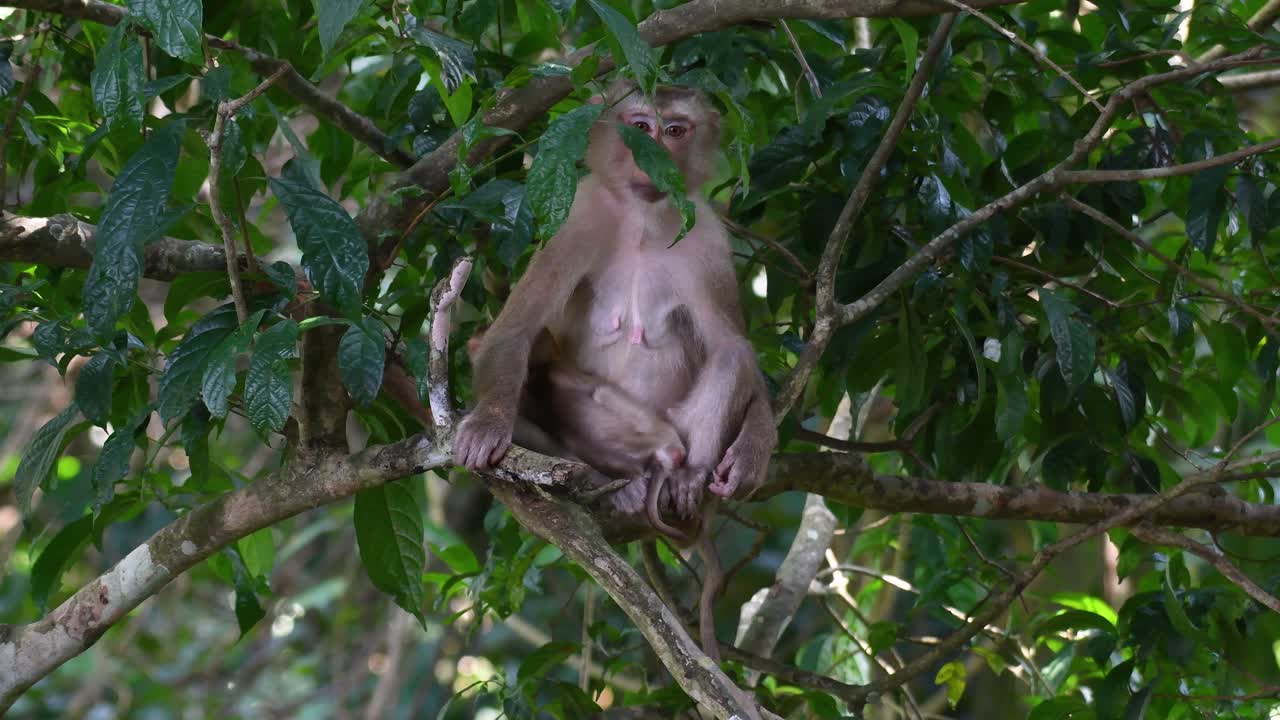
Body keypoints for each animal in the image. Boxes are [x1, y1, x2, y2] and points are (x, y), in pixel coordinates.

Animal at [455, 80, 778, 662]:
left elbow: (733, 348)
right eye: (640, 127)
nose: (655, 155)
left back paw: (682, 479)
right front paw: (487, 426)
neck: (645, 223)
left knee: (728, 360)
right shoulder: (577, 218)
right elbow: (513, 331)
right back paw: (612, 484)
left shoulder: (709, 238)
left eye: (675, 129)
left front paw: (750, 449)